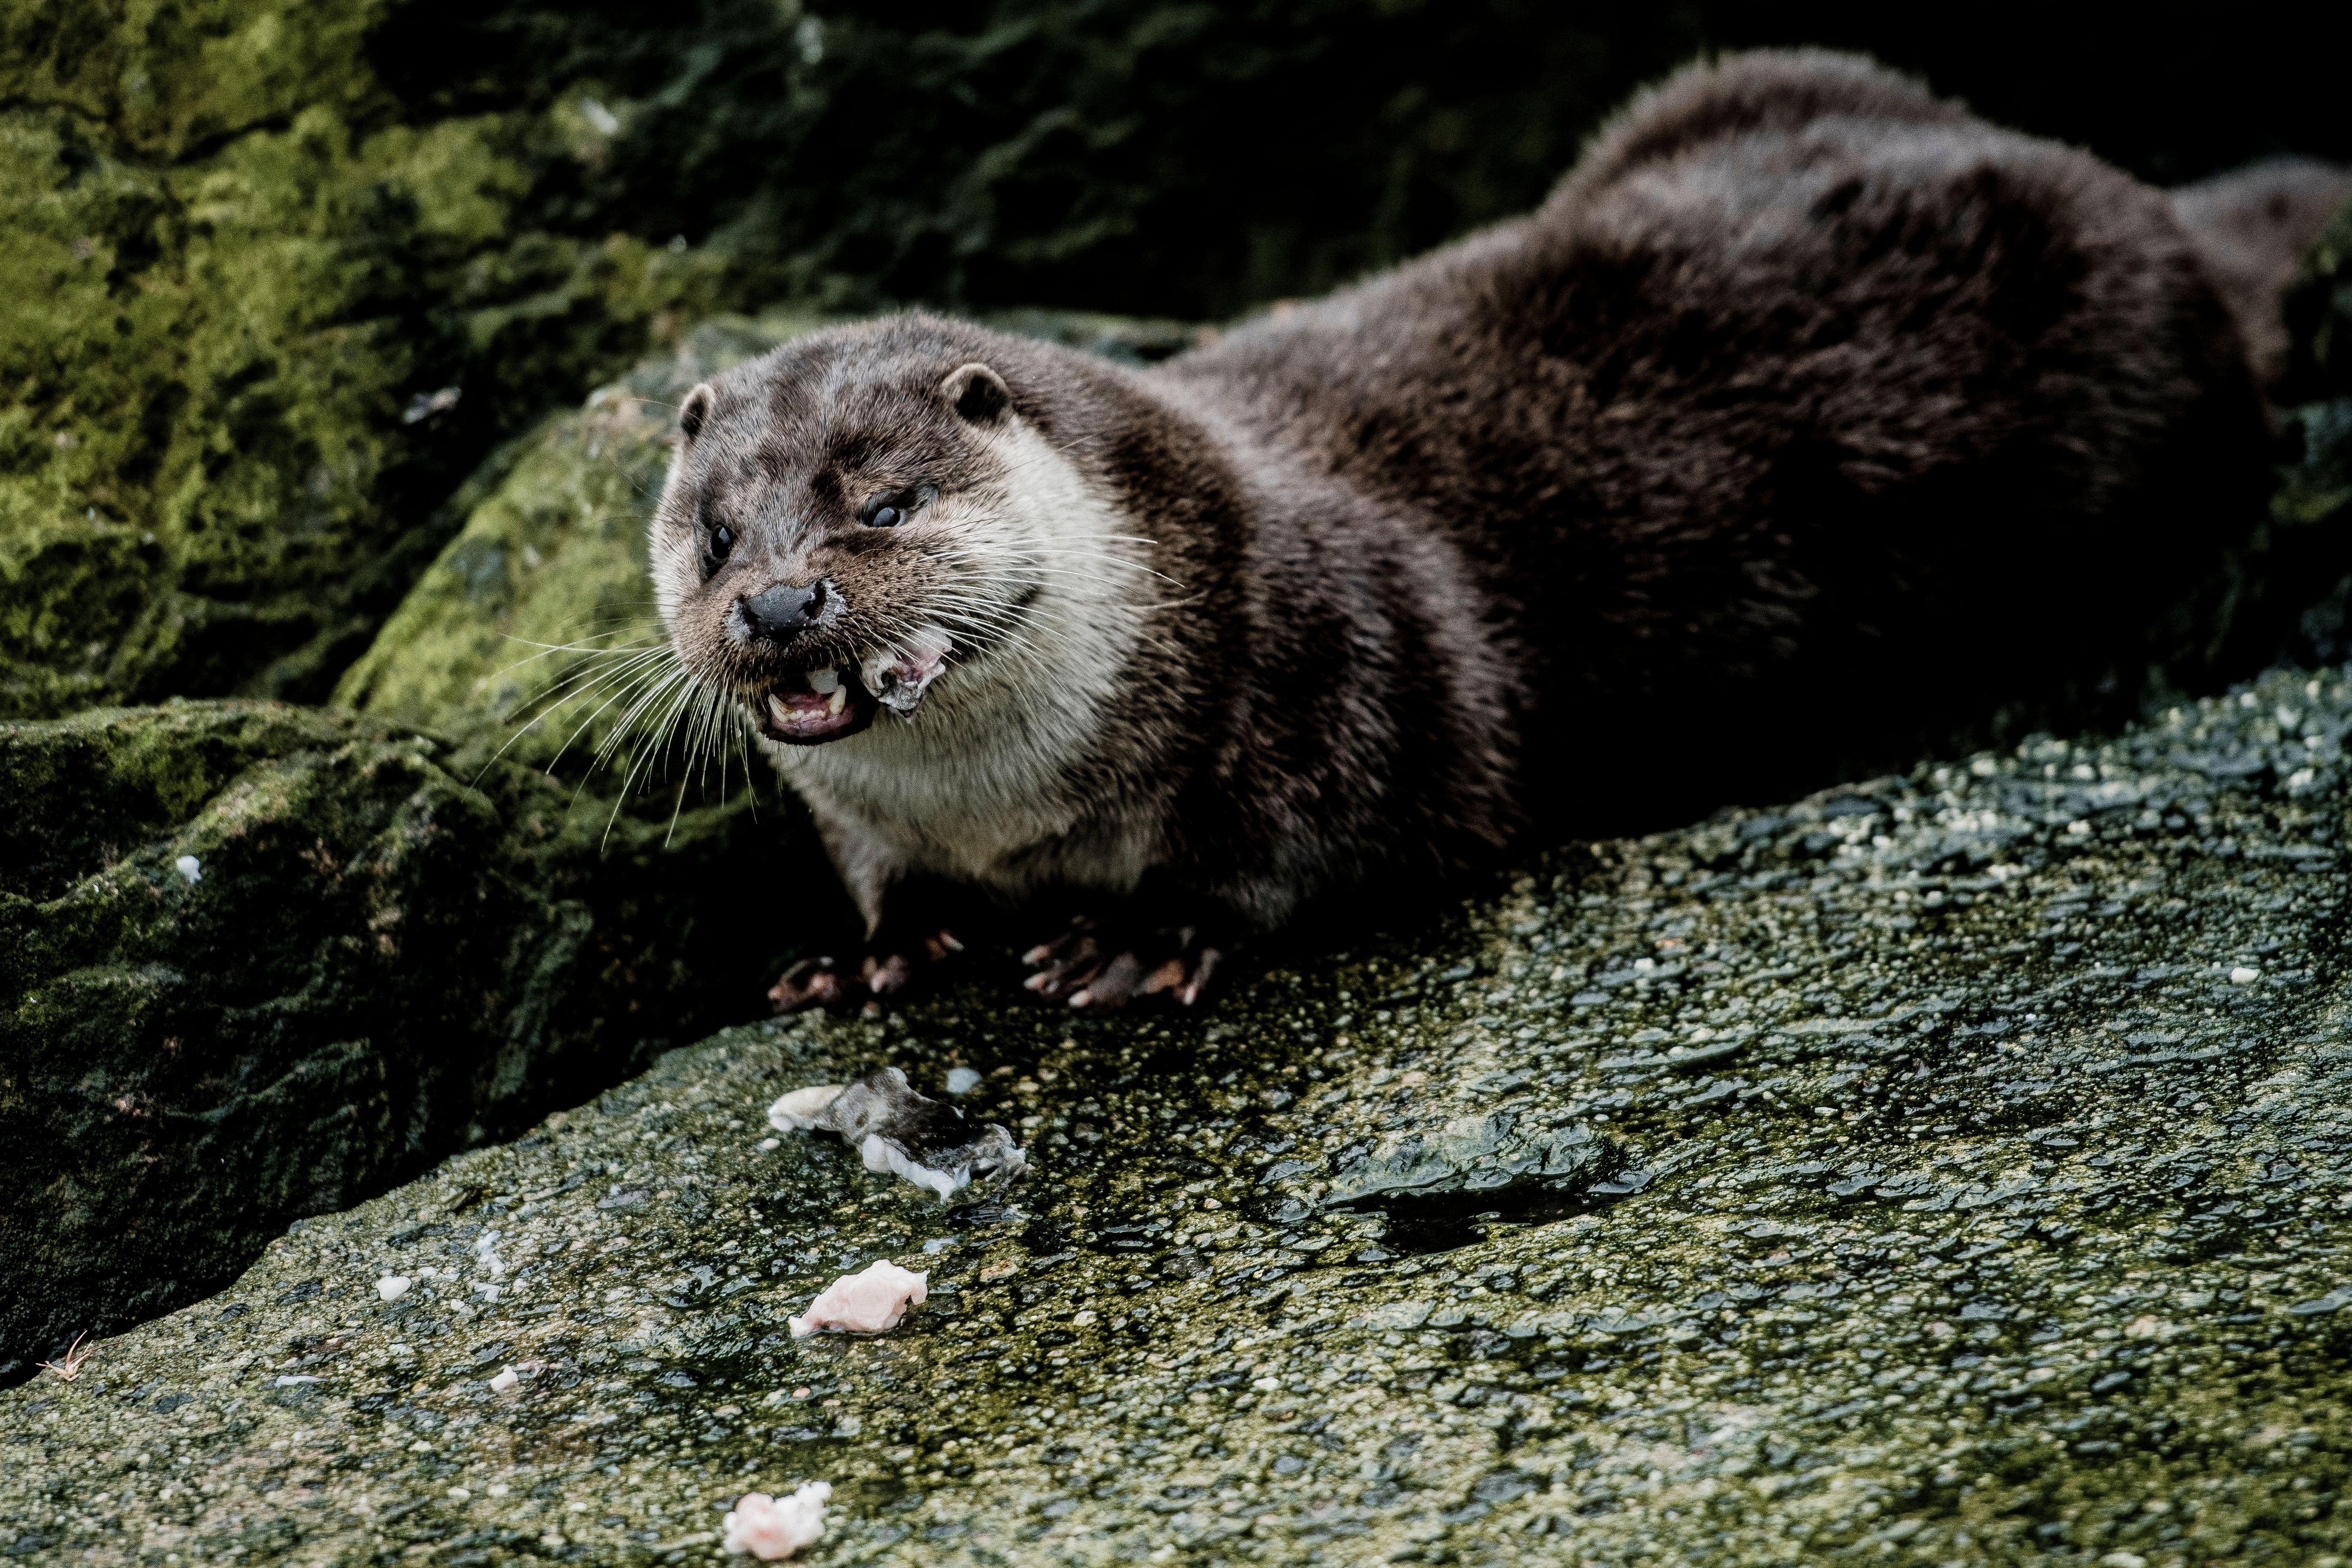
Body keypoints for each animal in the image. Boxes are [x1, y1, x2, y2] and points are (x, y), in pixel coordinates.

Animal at [651, 49, 2346, 1014]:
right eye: (717, 536)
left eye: (883, 503)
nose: (783, 608)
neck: (1011, 811)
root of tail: (2152, 215)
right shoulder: (881, 821)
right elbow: (876, 875)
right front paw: (868, 952)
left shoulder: (1340, 664)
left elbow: (1322, 848)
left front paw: (1142, 941)